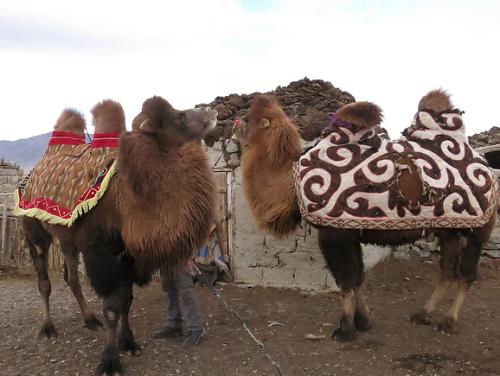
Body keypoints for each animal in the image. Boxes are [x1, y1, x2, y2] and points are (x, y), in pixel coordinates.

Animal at [17, 97, 217, 374]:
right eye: (178, 117)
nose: (210, 110)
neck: (129, 198)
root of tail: (32, 173)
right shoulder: (104, 254)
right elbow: (112, 307)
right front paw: (109, 360)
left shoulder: (130, 256)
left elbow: (127, 301)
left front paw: (128, 343)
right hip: (35, 230)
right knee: (44, 280)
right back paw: (48, 329)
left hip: (69, 239)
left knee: (72, 278)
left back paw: (90, 320)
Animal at [238, 92, 496, 342]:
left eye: (248, 119)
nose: (235, 122)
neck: (291, 183)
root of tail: (486, 166)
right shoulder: (350, 233)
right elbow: (358, 277)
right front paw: (363, 321)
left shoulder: (334, 234)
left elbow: (345, 281)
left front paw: (345, 330)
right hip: (448, 229)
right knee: (447, 270)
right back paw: (423, 314)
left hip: (477, 227)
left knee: (467, 274)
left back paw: (449, 321)